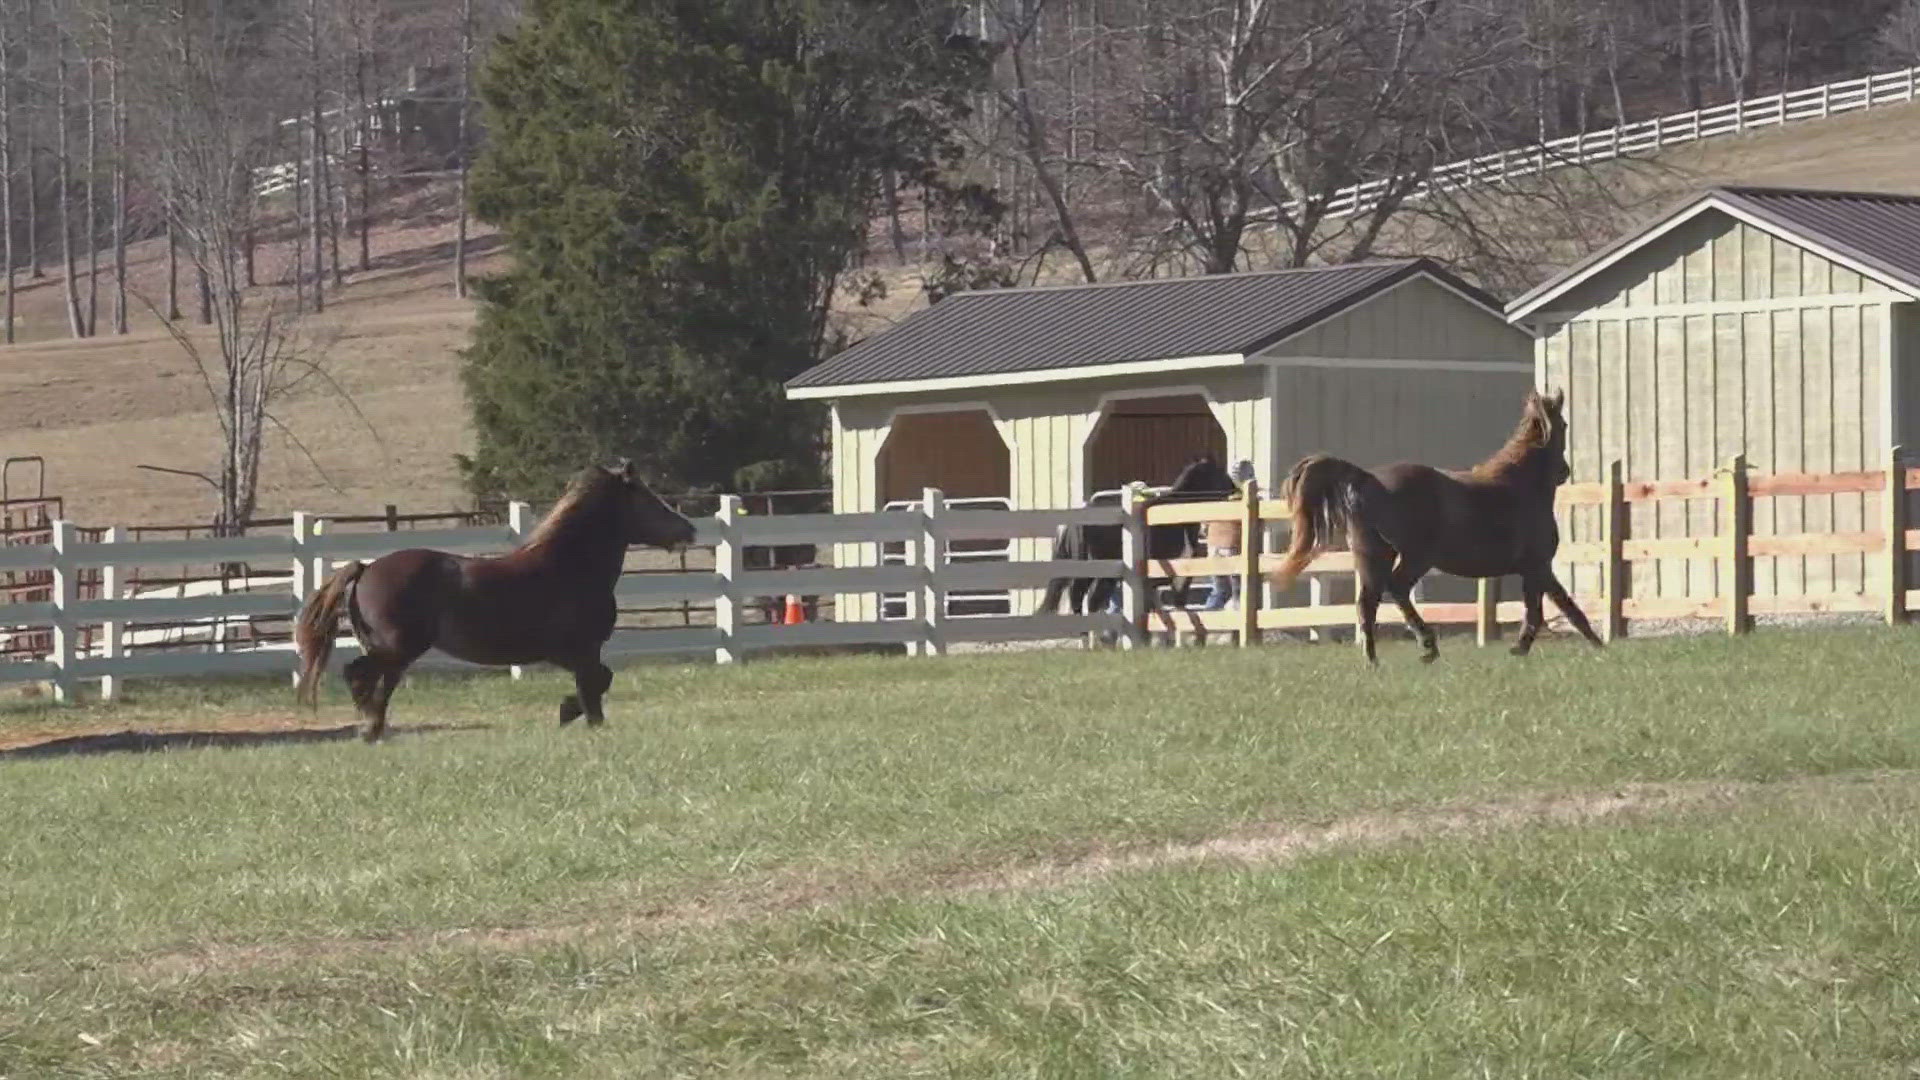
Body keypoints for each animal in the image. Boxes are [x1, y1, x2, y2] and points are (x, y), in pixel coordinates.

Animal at [291, 457, 698, 734]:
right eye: (648, 498)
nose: (689, 530)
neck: (570, 566)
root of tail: (366, 569)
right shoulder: (579, 649)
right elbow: (596, 685)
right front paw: (578, 717)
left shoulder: (570, 652)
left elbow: (601, 680)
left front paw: (568, 711)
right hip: (397, 647)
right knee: (361, 675)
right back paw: (369, 728)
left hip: (393, 649)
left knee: (371, 680)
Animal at [1274, 382, 1605, 661]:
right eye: (1563, 425)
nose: (1564, 471)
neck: (1521, 485)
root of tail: (1366, 478)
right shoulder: (1537, 566)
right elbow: (1551, 610)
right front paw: (1533, 648)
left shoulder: (1534, 568)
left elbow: (1557, 607)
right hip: (1416, 556)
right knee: (1396, 588)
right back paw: (1427, 646)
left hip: (1373, 554)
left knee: (1367, 603)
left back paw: (1374, 661)